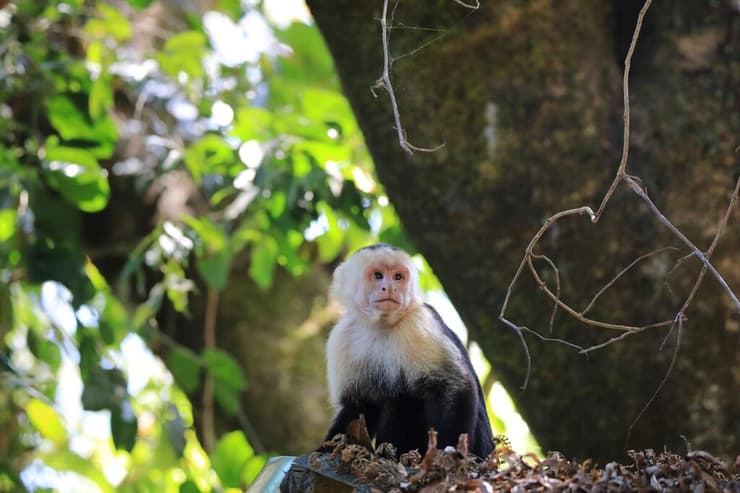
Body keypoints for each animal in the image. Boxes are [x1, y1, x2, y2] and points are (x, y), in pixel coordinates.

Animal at [326, 243, 494, 458]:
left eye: (398, 277)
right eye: (378, 275)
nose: (390, 287)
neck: (381, 326)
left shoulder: (418, 321)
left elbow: (454, 385)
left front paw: (447, 456)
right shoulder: (342, 337)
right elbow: (358, 406)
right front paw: (325, 448)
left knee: (404, 395)